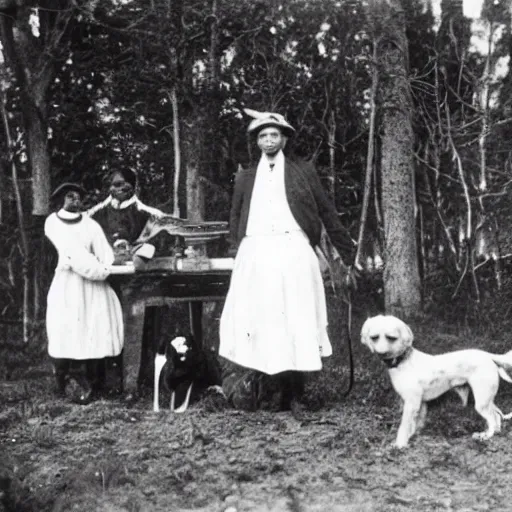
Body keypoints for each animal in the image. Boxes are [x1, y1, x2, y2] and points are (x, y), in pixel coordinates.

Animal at [360, 314, 512, 450]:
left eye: (391, 338)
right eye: (374, 337)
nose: (381, 353)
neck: (403, 361)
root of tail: (487, 356)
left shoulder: (411, 404)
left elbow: (404, 426)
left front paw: (400, 444)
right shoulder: (420, 404)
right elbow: (414, 425)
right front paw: (411, 437)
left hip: (481, 402)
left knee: (492, 418)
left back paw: (486, 436)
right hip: (486, 399)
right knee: (497, 416)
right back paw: (494, 432)